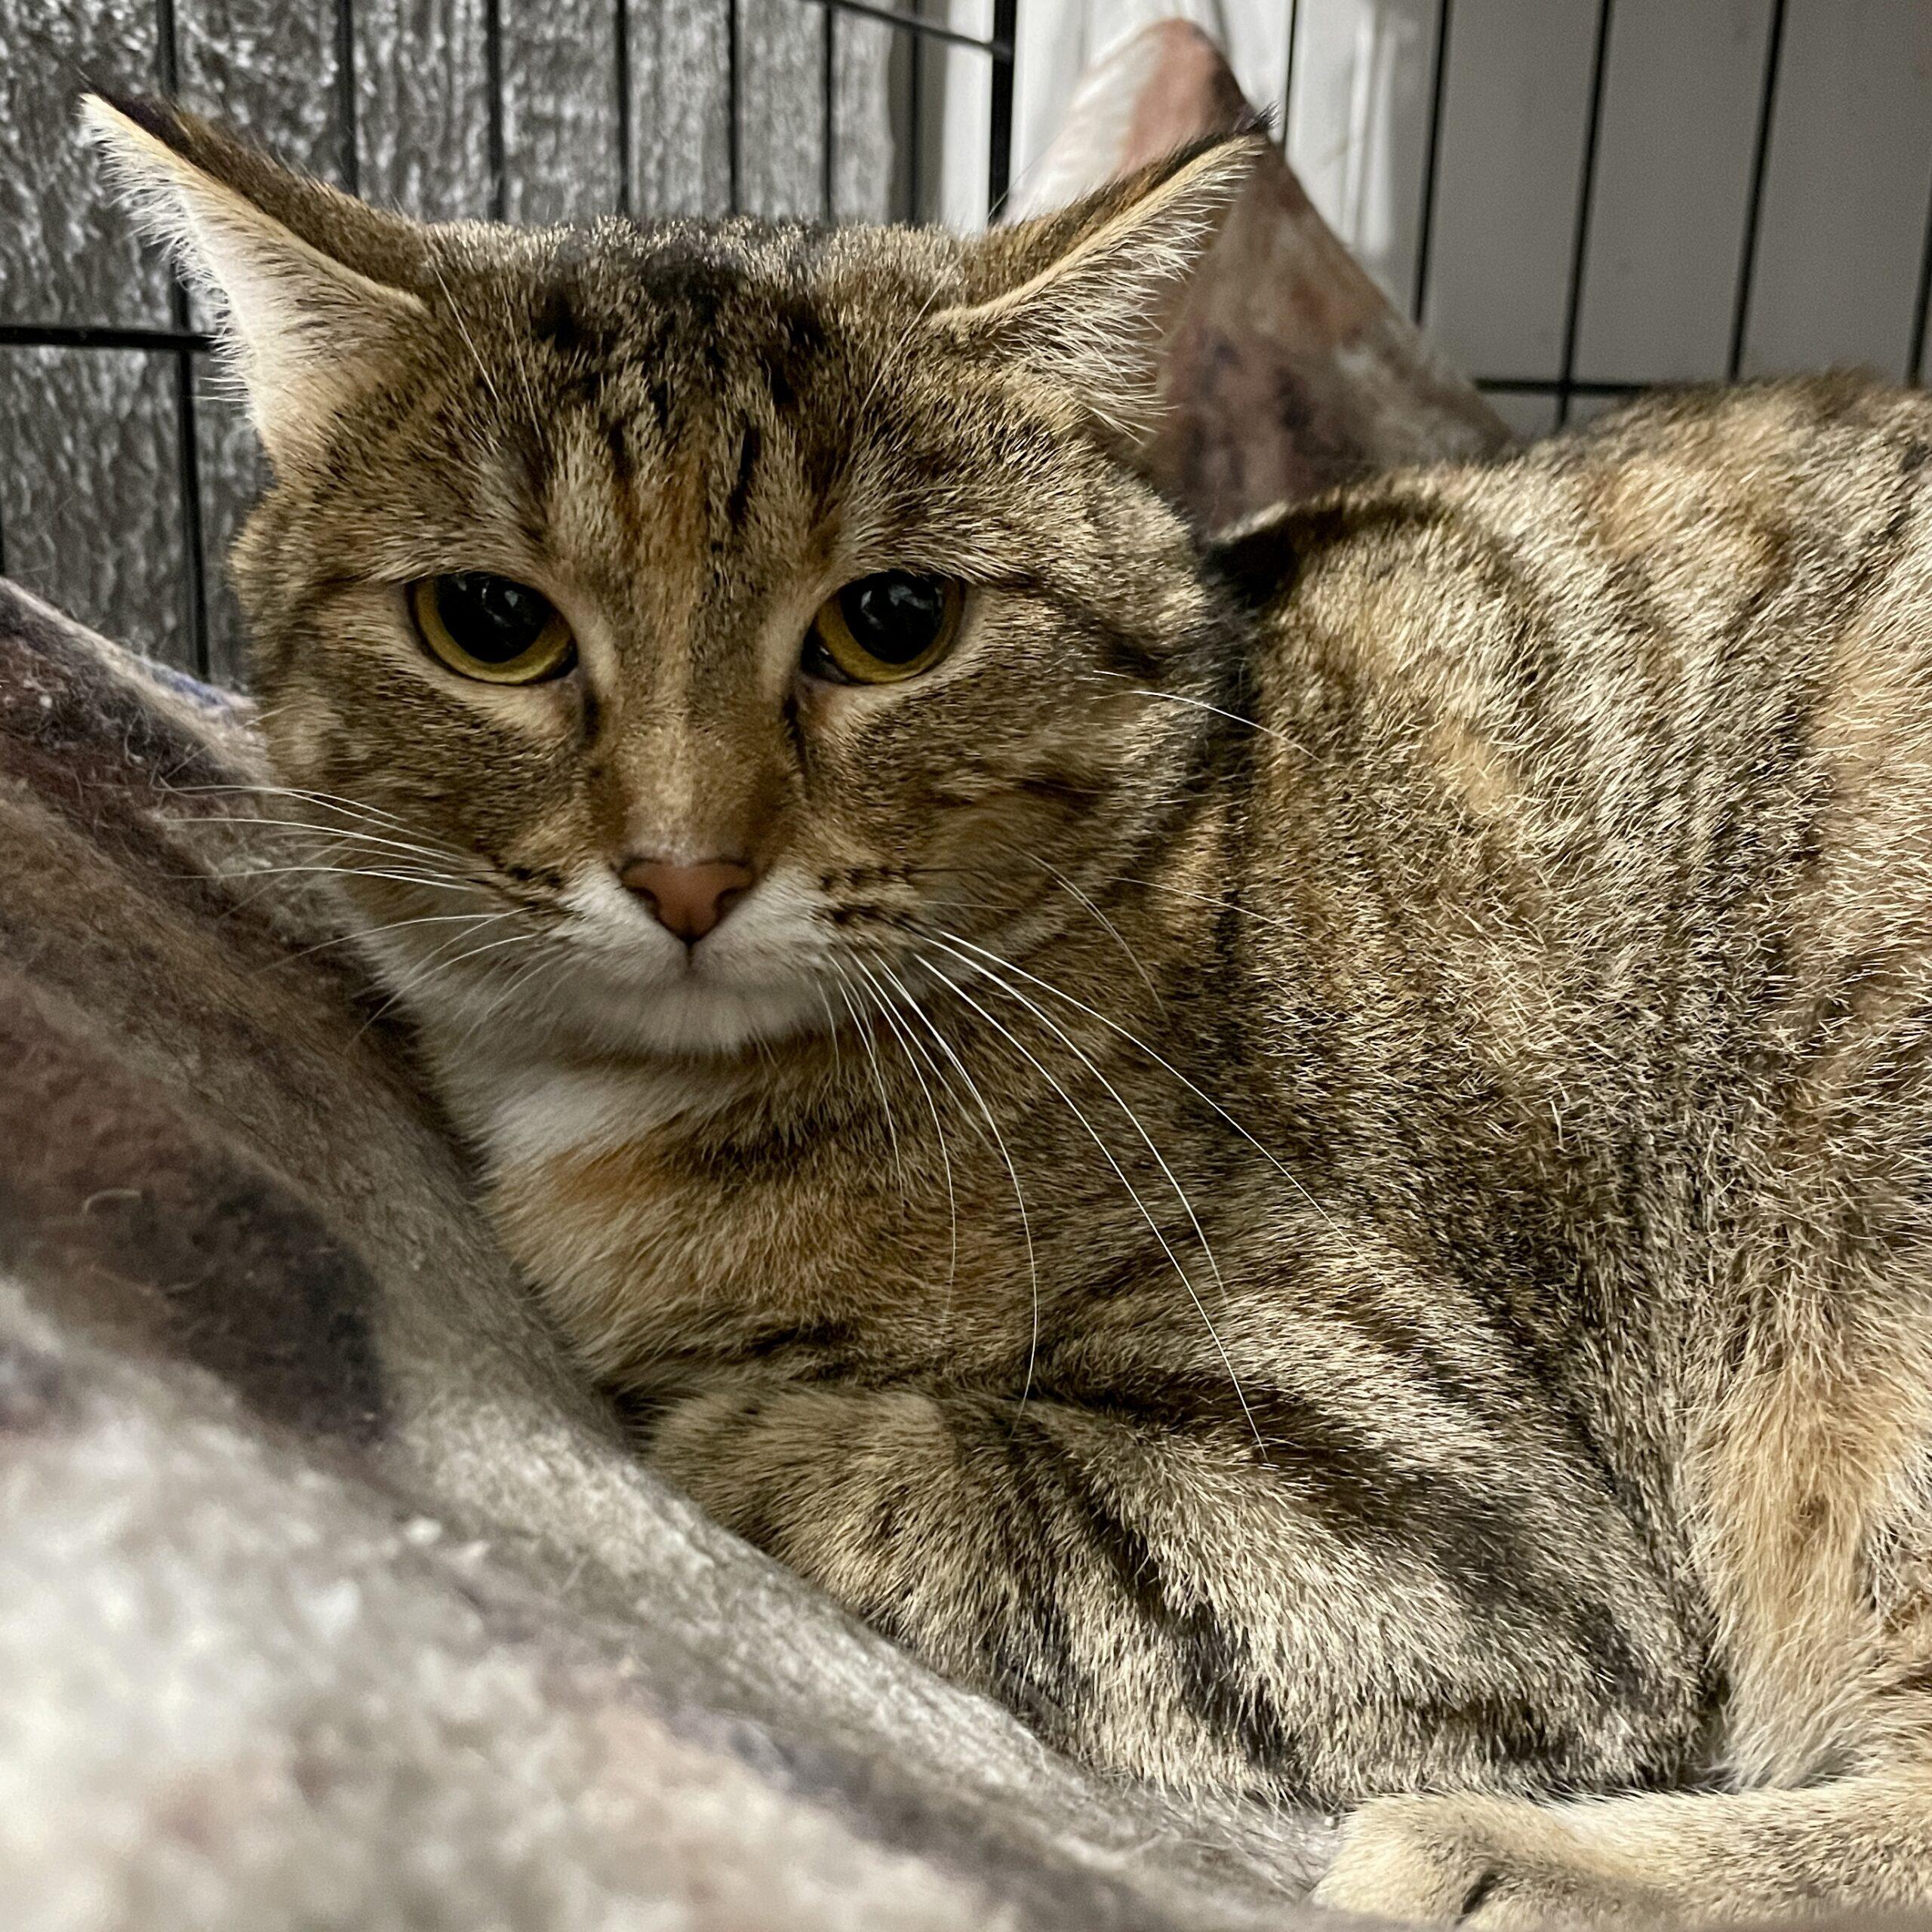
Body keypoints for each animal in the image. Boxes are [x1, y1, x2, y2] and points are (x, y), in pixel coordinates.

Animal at [84, 90, 1932, 1926]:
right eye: (488, 622)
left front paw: (691, 1399)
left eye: (894, 623)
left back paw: (1502, 1857)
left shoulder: (1430, 1518)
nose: (685, 870)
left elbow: (909, 1480)